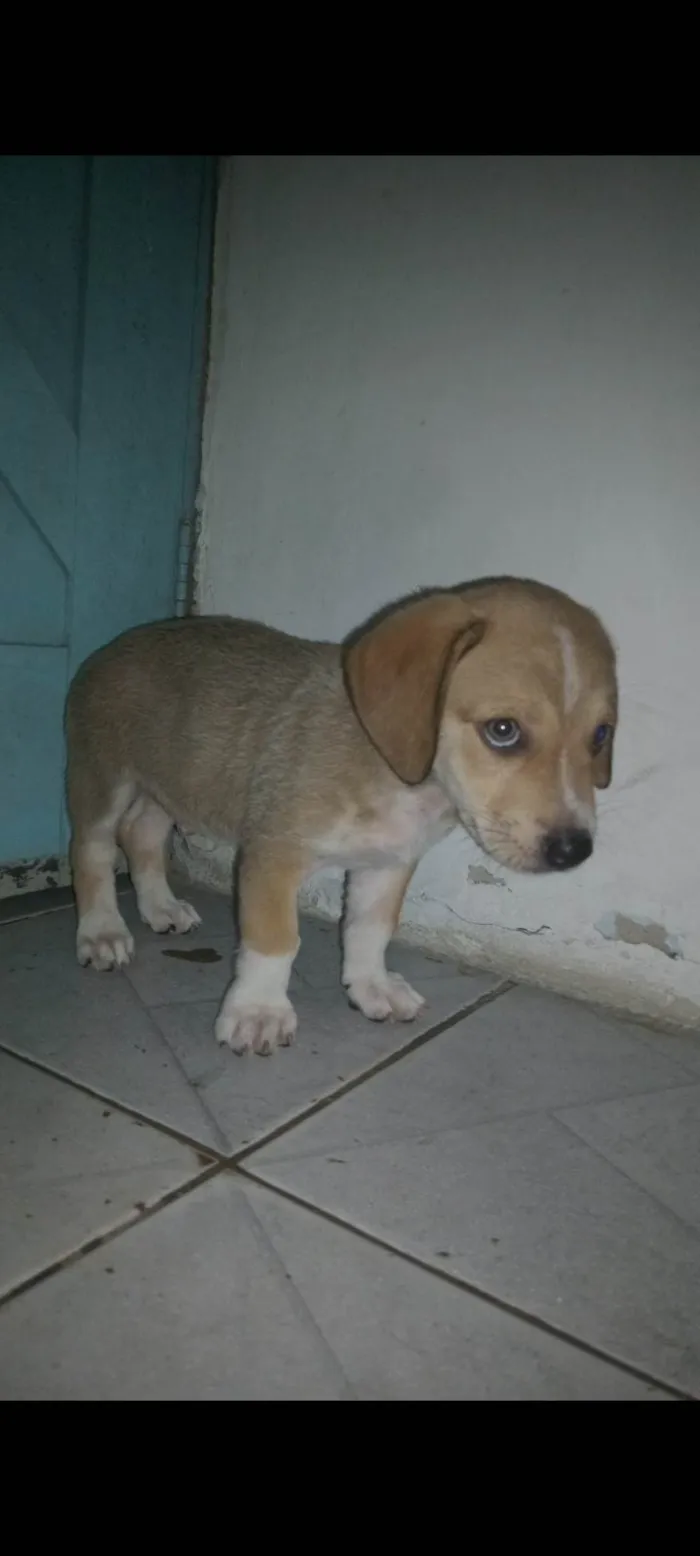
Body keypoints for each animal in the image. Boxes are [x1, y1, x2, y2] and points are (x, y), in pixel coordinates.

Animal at [64, 578, 612, 1064]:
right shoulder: (272, 857)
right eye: (502, 730)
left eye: (602, 734)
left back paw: (160, 906)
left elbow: (370, 930)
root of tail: (115, 646)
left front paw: (371, 987)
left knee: (141, 834)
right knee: (92, 850)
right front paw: (258, 1012)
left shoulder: (387, 866)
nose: (574, 850)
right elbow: (275, 941)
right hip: (103, 781)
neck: (403, 782)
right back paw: (102, 931)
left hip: (170, 788)